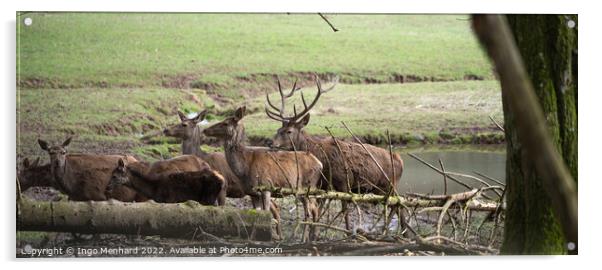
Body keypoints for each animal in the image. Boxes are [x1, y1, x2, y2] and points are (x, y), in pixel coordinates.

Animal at [264, 76, 400, 230]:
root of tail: (400, 160)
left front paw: (348, 231)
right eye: (278, 129)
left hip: (388, 184)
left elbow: (345, 211)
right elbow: (319, 210)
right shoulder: (323, 186)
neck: (321, 158)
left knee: (397, 204)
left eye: (289, 131)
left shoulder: (344, 182)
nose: (271, 143)